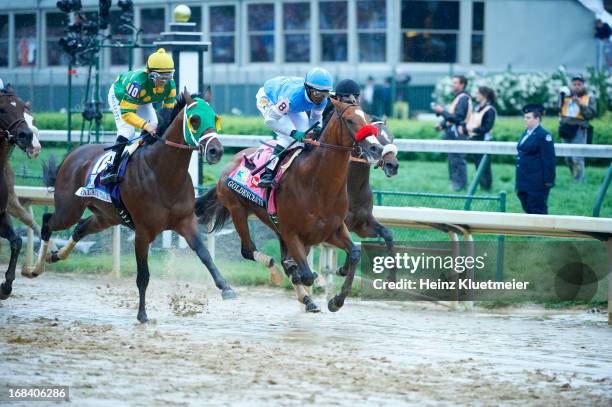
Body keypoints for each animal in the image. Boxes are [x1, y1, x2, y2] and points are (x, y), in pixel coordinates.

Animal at [22, 88, 235, 322]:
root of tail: (73, 154)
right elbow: (143, 275)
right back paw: (34, 269)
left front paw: (226, 287)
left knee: (80, 228)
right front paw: (142, 314)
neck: (163, 174)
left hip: (106, 216)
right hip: (69, 209)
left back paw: (56, 255)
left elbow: (205, 254)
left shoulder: (185, 221)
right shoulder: (143, 232)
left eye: (215, 118)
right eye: (195, 120)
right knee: (47, 222)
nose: (216, 151)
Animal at [196, 98, 382, 312]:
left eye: (367, 118)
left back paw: (307, 298)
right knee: (250, 251)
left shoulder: (332, 229)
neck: (317, 183)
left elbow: (355, 254)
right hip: (238, 211)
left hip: (275, 226)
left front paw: (337, 298)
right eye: (350, 120)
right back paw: (276, 271)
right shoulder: (292, 233)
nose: (376, 148)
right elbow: (306, 274)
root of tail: (231, 163)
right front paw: (313, 279)